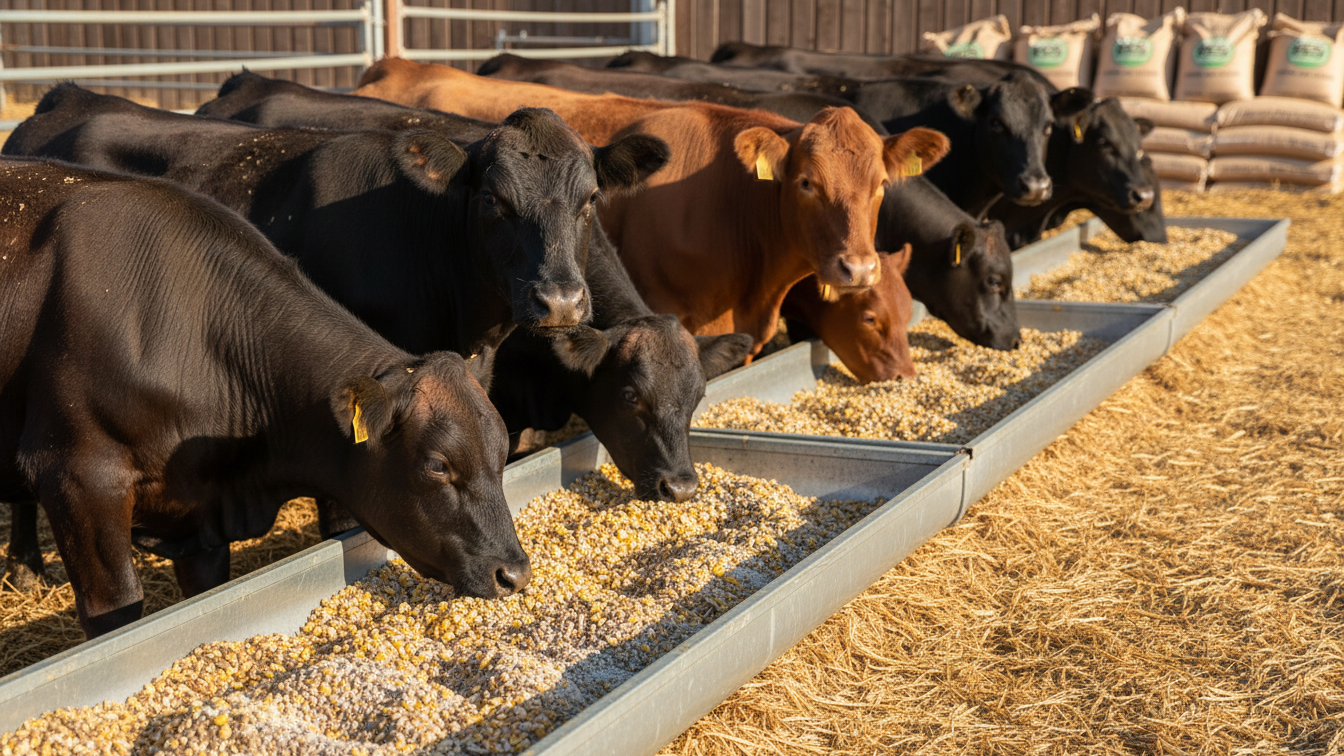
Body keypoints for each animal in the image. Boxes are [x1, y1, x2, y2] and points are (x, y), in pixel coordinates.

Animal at [0, 159, 529, 637]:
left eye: (503, 453)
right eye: (438, 465)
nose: (514, 573)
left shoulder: (200, 516)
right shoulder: (79, 478)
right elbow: (117, 612)